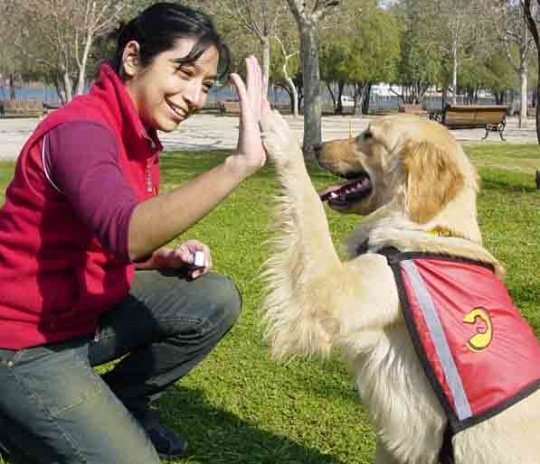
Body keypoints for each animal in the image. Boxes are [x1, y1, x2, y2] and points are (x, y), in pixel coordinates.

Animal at [260, 110, 540, 462]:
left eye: (368, 135)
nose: (316, 146)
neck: (426, 226)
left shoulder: (331, 293)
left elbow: (310, 206)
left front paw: (279, 134)